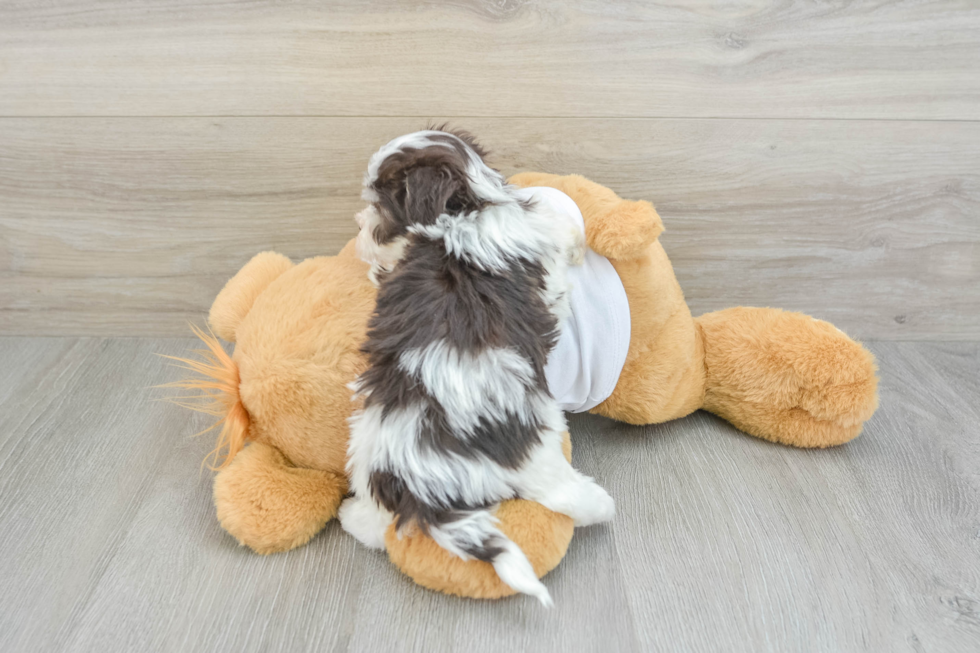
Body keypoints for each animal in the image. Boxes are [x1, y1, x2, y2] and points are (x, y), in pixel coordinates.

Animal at [336, 129, 612, 608]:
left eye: (380, 208)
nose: (357, 227)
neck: (471, 209)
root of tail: (421, 480)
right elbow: (563, 236)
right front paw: (579, 247)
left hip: (368, 445)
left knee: (377, 524)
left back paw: (352, 515)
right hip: (538, 439)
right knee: (559, 490)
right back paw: (599, 506)